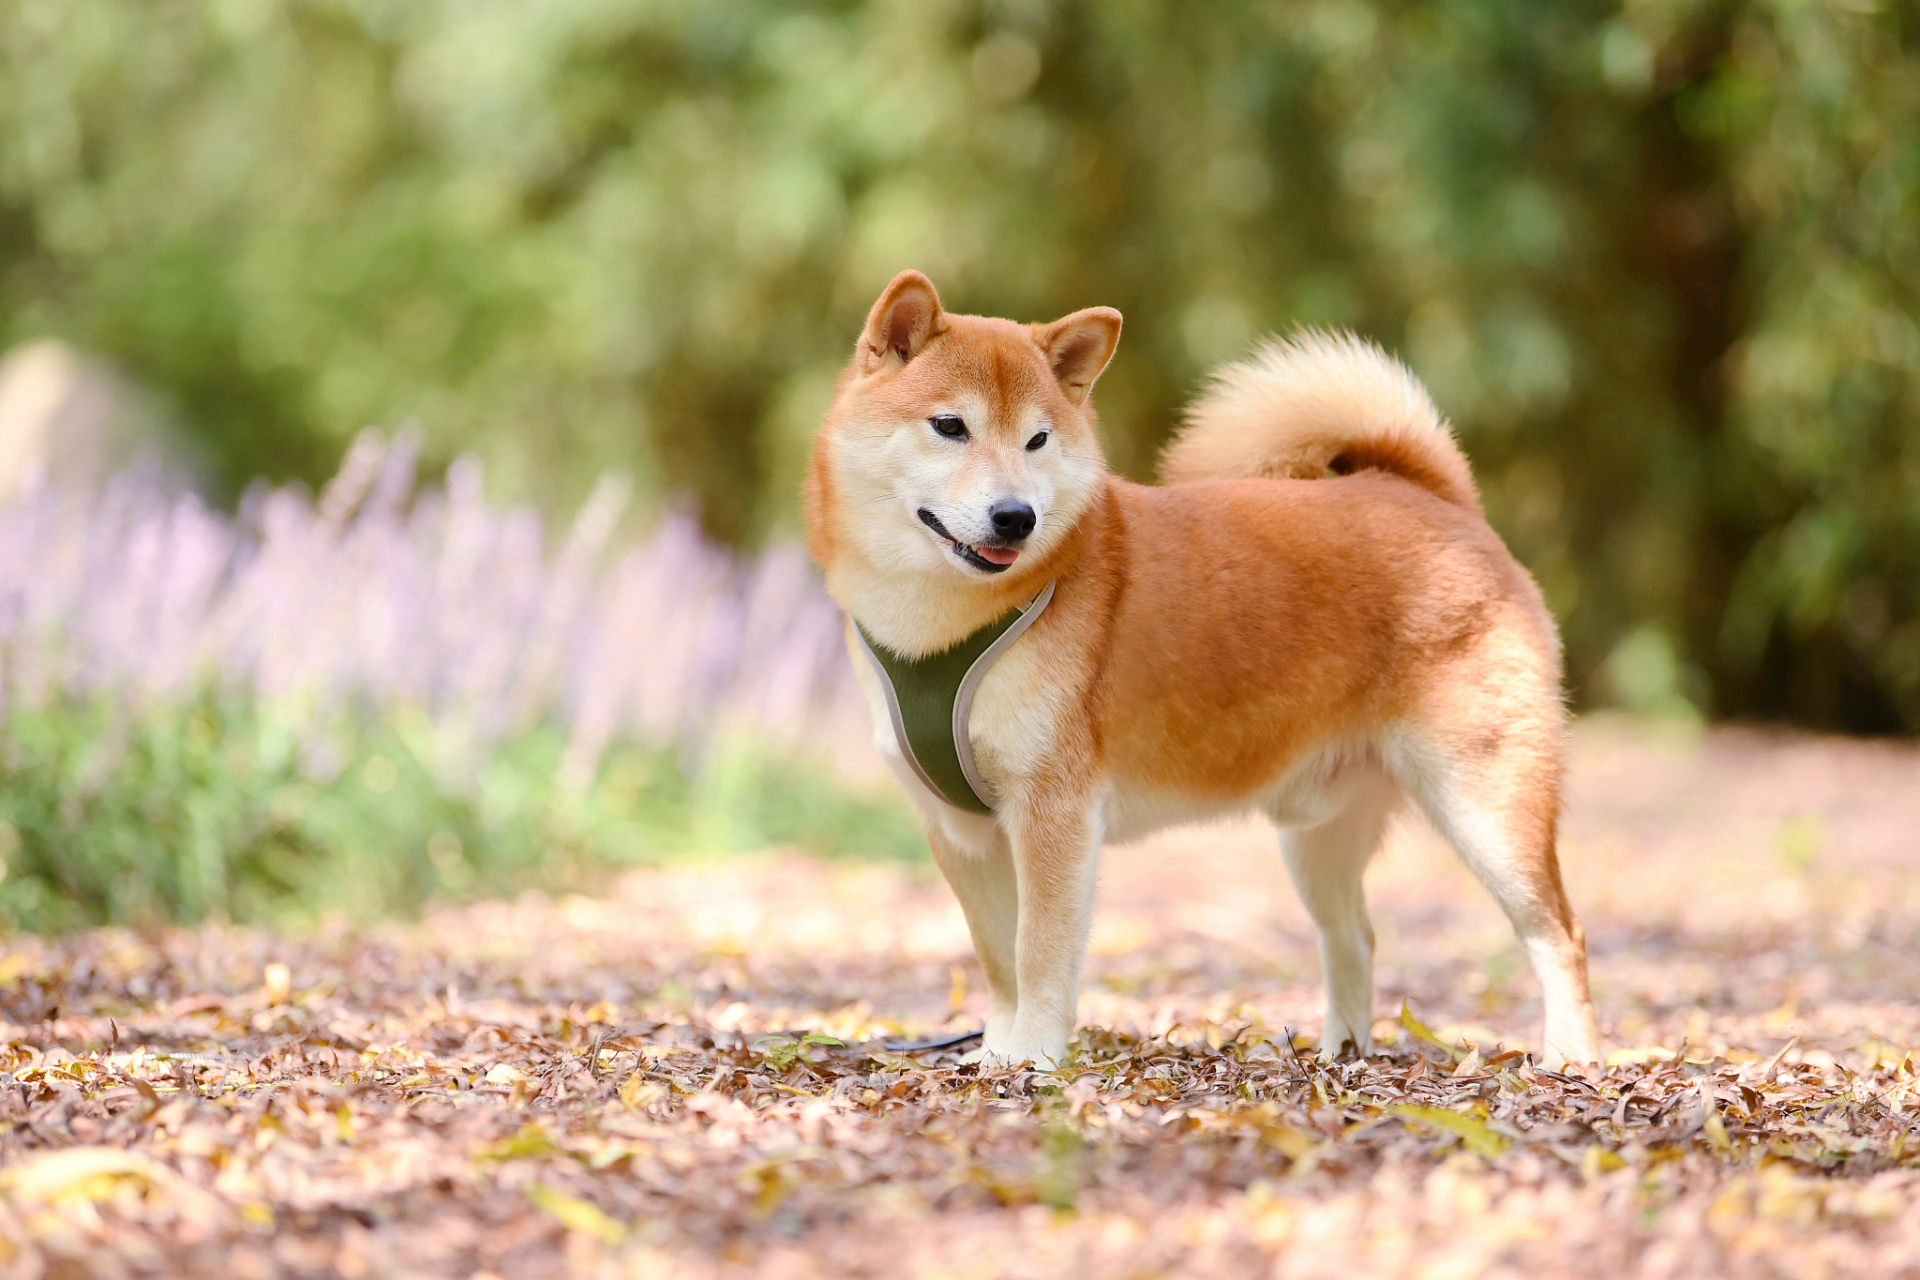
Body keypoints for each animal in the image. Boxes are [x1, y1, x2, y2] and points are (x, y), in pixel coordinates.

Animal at [798, 270, 1605, 1074]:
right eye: (950, 427)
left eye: (1037, 439)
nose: (1015, 517)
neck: (941, 626)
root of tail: (1439, 501)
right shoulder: (962, 828)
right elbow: (999, 958)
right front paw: (996, 1054)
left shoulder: (1053, 813)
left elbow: (1039, 952)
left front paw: (1033, 1060)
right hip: (1320, 836)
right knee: (1355, 938)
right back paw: (1340, 1058)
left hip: (1487, 807)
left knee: (1559, 936)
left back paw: (1570, 1058)